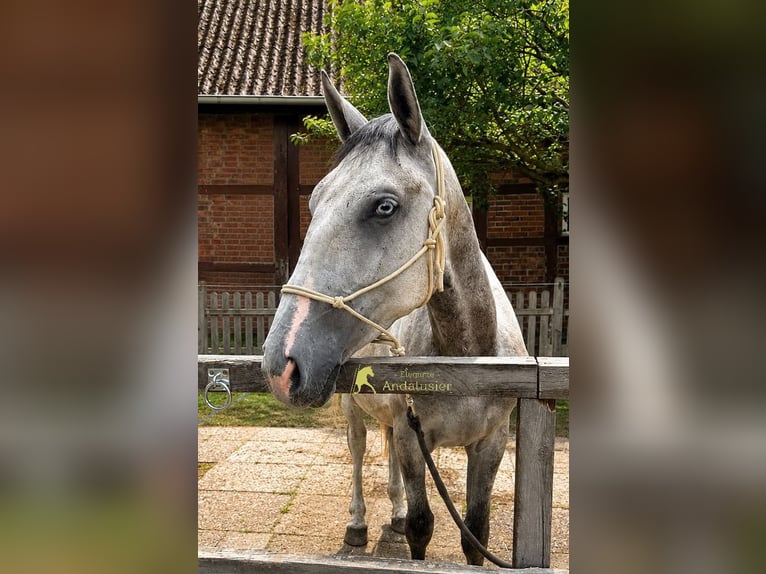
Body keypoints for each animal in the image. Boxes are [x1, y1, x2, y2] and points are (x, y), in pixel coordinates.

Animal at [262, 53, 527, 566]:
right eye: (313, 201)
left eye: (384, 206)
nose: (280, 364)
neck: (470, 351)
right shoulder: (411, 436)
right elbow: (423, 525)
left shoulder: (492, 443)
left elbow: (475, 533)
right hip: (352, 408)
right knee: (360, 452)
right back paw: (359, 524)